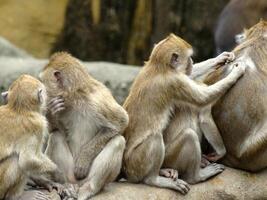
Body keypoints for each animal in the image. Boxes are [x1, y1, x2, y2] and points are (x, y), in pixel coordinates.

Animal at [38, 52, 129, 200]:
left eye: (42, 82)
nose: (41, 93)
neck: (76, 97)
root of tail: (77, 183)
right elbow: (55, 130)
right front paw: (52, 111)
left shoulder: (98, 101)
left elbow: (121, 122)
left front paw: (83, 162)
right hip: (69, 174)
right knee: (56, 136)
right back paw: (67, 186)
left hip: (87, 178)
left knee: (118, 141)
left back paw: (89, 188)